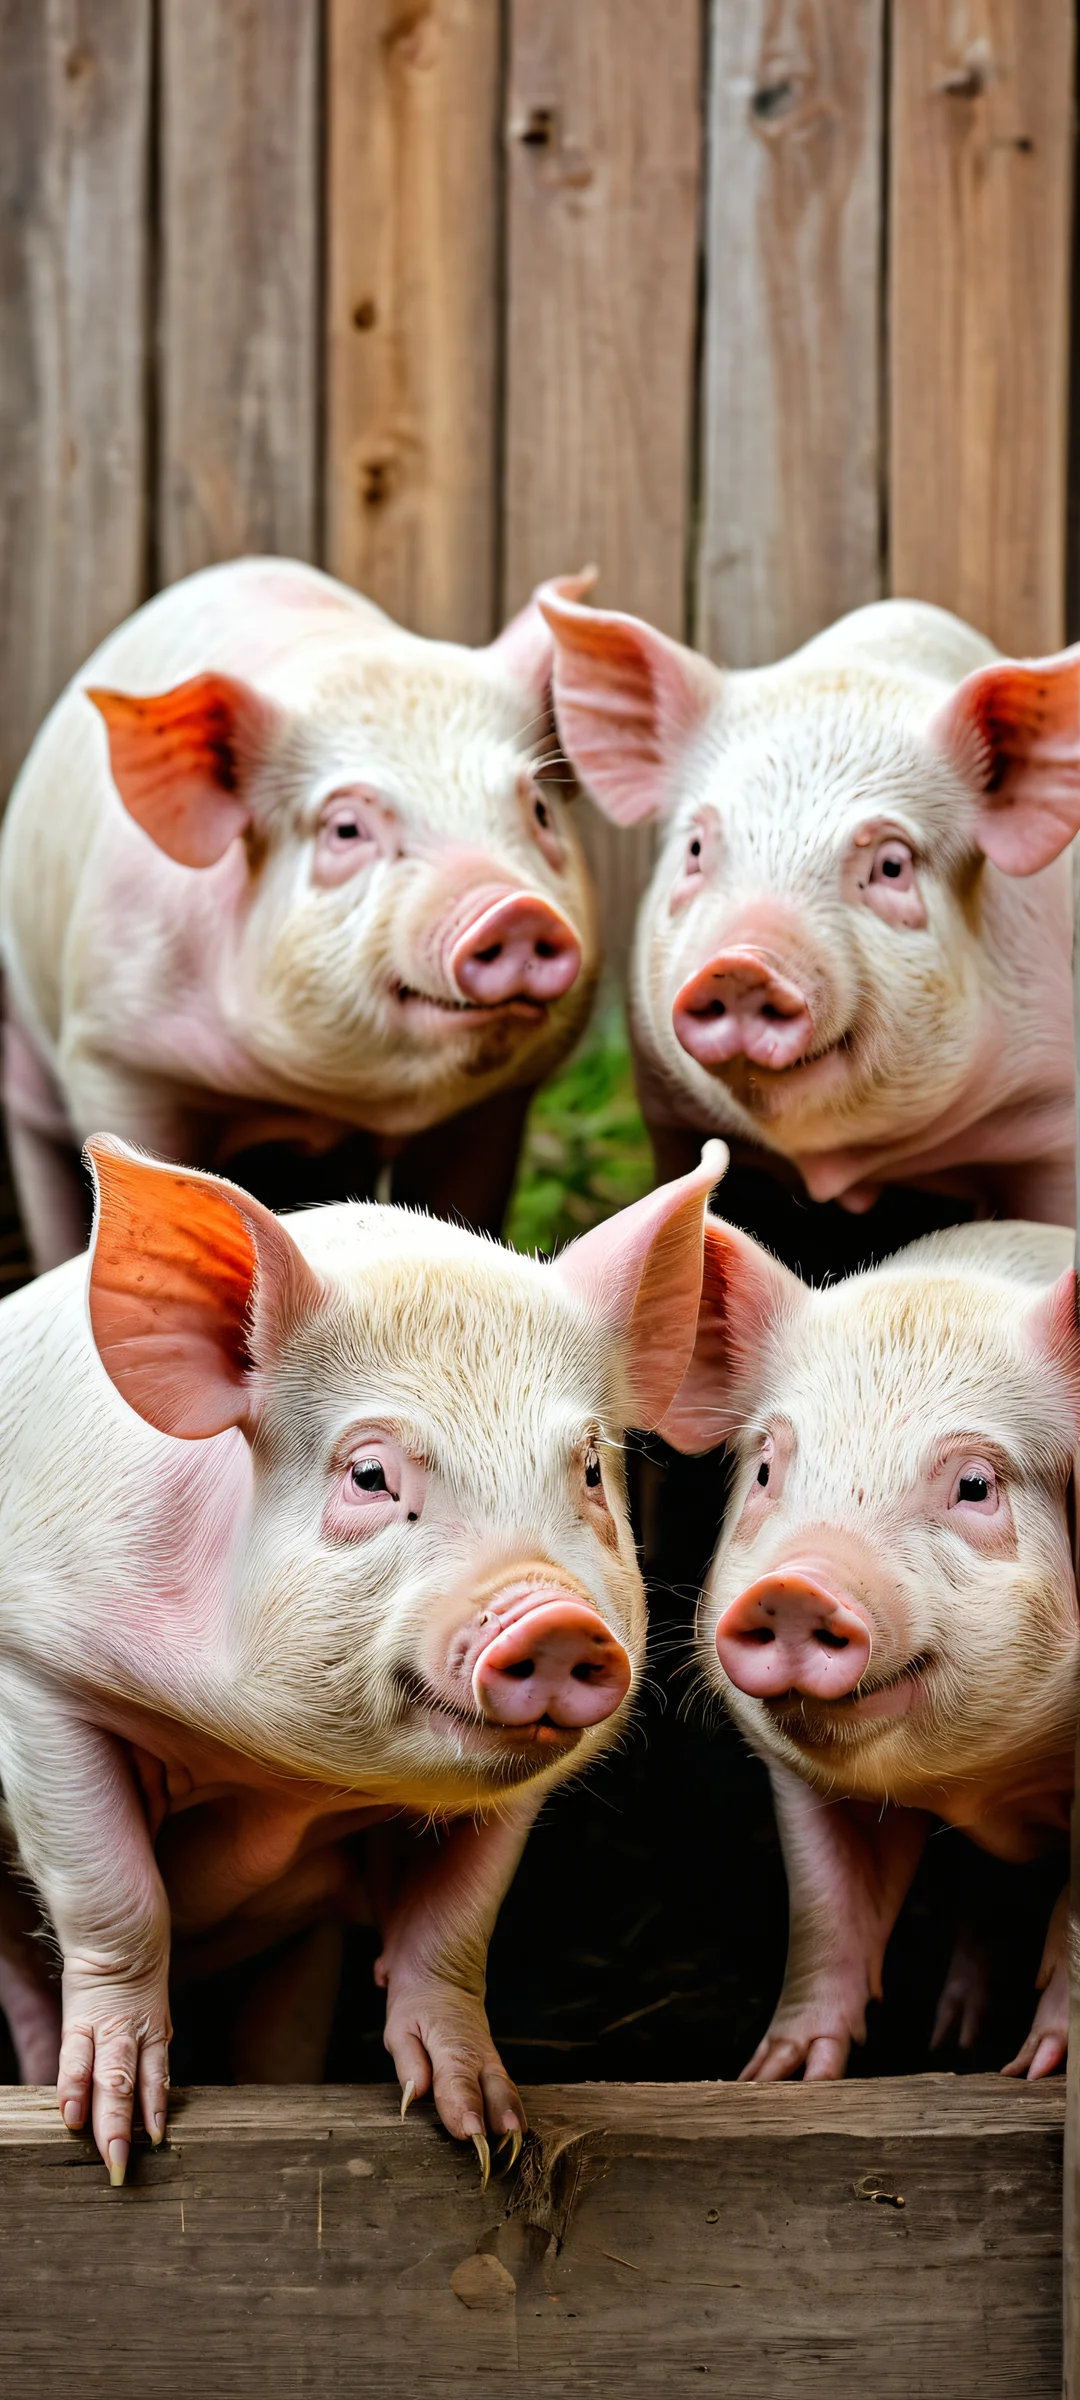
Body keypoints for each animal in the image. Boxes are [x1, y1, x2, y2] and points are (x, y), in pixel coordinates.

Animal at [0, 557, 600, 1273]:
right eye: (345, 829)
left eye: (538, 810)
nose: (516, 910)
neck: (320, 1102)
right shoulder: (113, 1053)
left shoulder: (497, 1104)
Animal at [0, 1132, 727, 2178]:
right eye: (371, 1474)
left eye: (590, 1468)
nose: (554, 1619)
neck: (285, 1779)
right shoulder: (41, 1671)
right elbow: (117, 1900)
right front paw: (116, 2142)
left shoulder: (512, 1796)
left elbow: (455, 1929)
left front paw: (486, 2130)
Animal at [680, 1212, 1079, 2081]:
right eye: (767, 1469)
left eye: (975, 1485)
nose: (797, 1586)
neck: (981, 1781)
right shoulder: (801, 1781)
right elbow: (828, 1912)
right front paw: (778, 2078)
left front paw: (1037, 2071)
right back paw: (950, 2040)